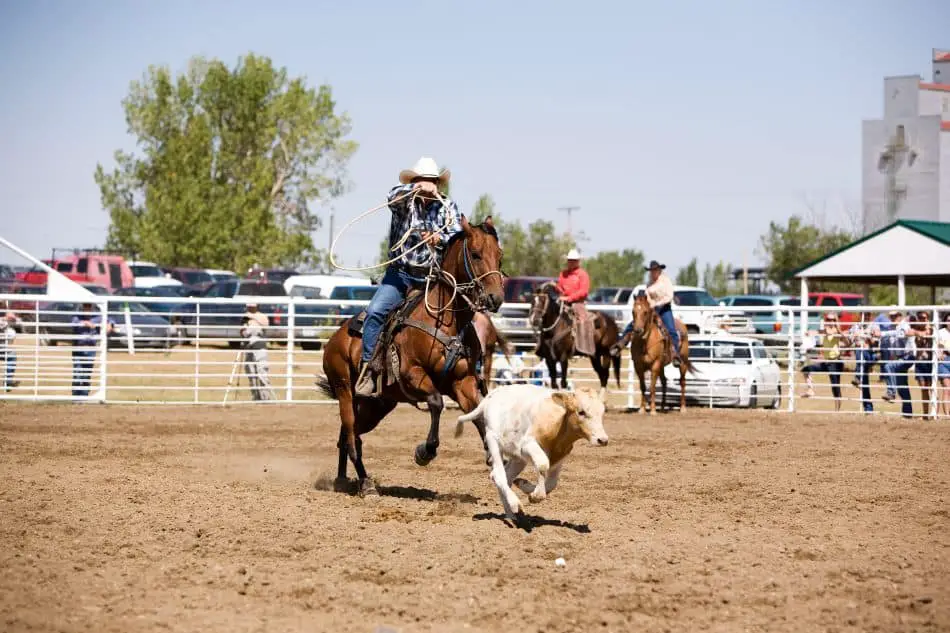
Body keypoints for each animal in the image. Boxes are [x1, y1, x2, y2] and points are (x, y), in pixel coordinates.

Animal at [316, 217, 506, 494]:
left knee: (349, 436)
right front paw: (425, 452)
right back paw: (365, 483)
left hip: (377, 405)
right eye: (475, 254)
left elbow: (478, 411)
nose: (495, 298)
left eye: (499, 255)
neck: (445, 319)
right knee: (351, 437)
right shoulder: (411, 374)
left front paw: (493, 457)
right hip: (344, 391)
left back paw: (343, 479)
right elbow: (436, 402)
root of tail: (334, 340)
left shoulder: (464, 382)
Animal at [456, 382, 608, 520]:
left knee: (504, 476)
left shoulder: (561, 456)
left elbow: (552, 483)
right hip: (493, 441)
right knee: (499, 475)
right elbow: (543, 464)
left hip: (518, 459)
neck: (557, 424)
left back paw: (511, 515)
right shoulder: (527, 445)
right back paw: (515, 504)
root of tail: (493, 394)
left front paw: (524, 486)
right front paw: (535, 496)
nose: (603, 440)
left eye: (602, 412)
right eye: (581, 412)